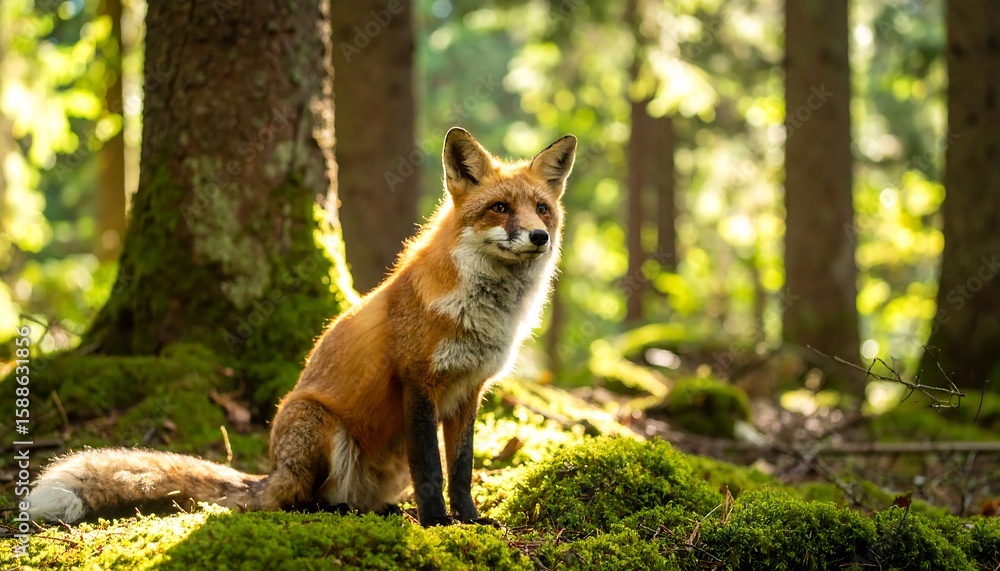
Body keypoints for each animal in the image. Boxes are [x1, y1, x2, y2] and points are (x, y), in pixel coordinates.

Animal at [27, 127, 577, 527]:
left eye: (542, 209)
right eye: (499, 208)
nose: (540, 236)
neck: (484, 313)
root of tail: (271, 471)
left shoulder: (468, 392)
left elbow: (460, 470)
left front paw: (471, 520)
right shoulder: (417, 382)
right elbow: (430, 468)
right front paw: (437, 524)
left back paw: (378, 510)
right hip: (317, 424)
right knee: (296, 500)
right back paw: (333, 509)